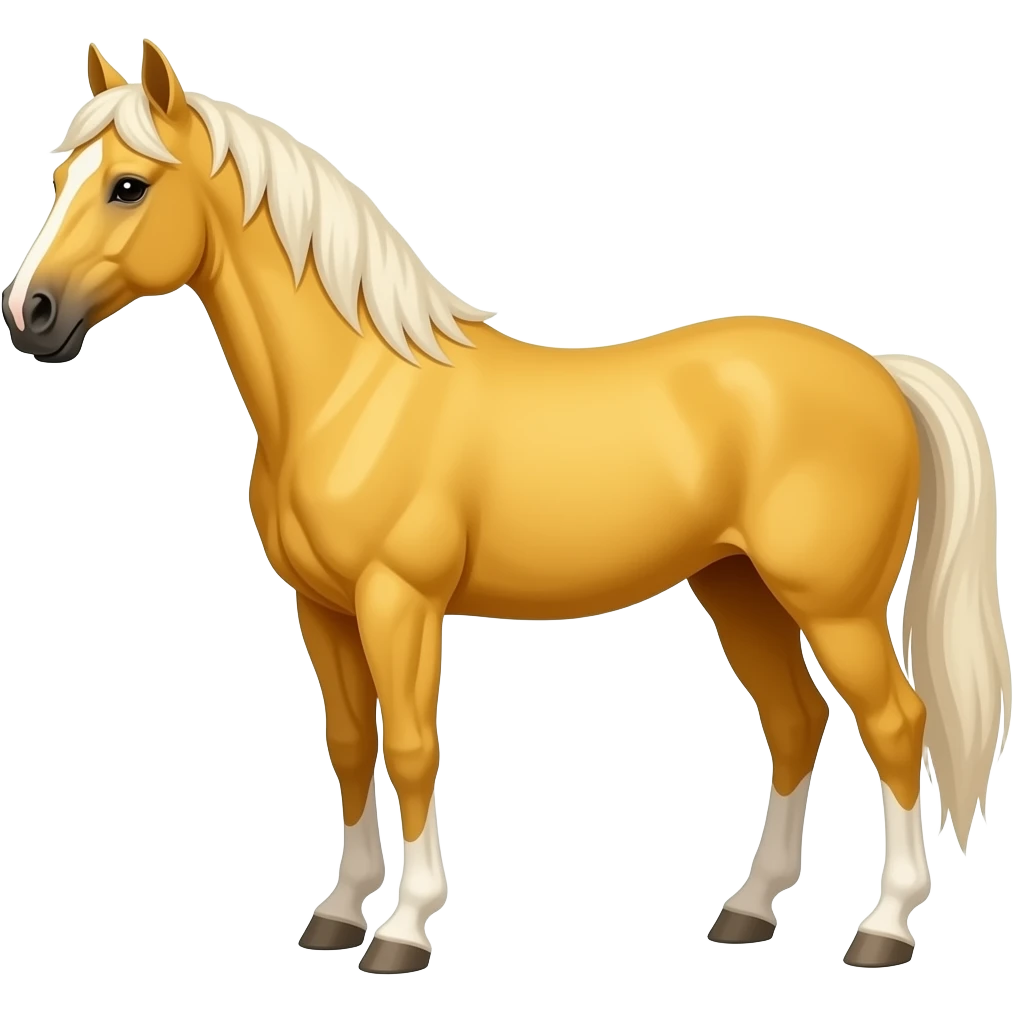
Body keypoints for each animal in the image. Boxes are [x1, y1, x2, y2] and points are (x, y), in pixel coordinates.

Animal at [3, 39, 1008, 974]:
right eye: (59, 176)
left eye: (128, 186)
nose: (30, 314)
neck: (354, 387)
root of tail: (880, 370)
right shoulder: (321, 608)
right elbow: (347, 741)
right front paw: (338, 911)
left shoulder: (398, 602)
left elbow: (412, 745)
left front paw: (403, 928)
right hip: (738, 589)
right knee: (795, 721)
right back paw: (749, 909)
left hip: (832, 604)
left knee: (895, 723)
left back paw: (882, 926)